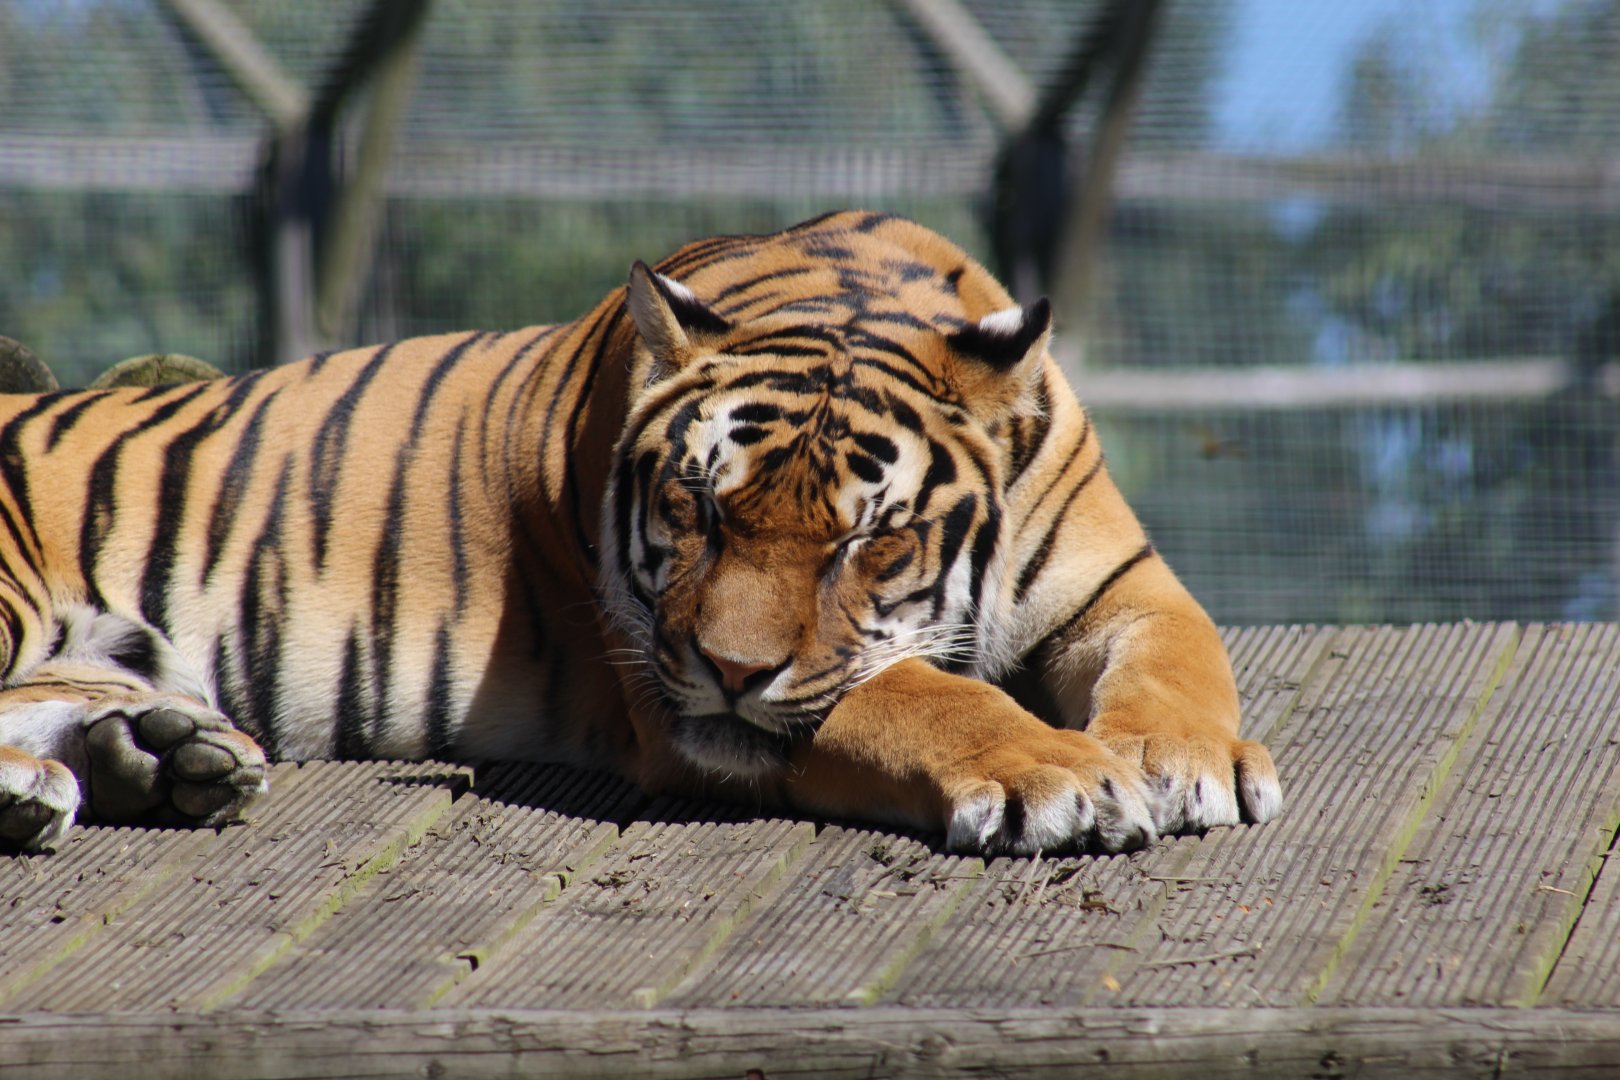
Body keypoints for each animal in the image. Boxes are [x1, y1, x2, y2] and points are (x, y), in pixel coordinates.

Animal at [0, 210, 1281, 856]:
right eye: (696, 505)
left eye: (864, 544)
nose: (730, 671)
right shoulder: (677, 698)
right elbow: (918, 695)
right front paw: (1062, 775)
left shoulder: (1123, 586)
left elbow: (1181, 659)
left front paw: (1190, 764)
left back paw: (158, 761)